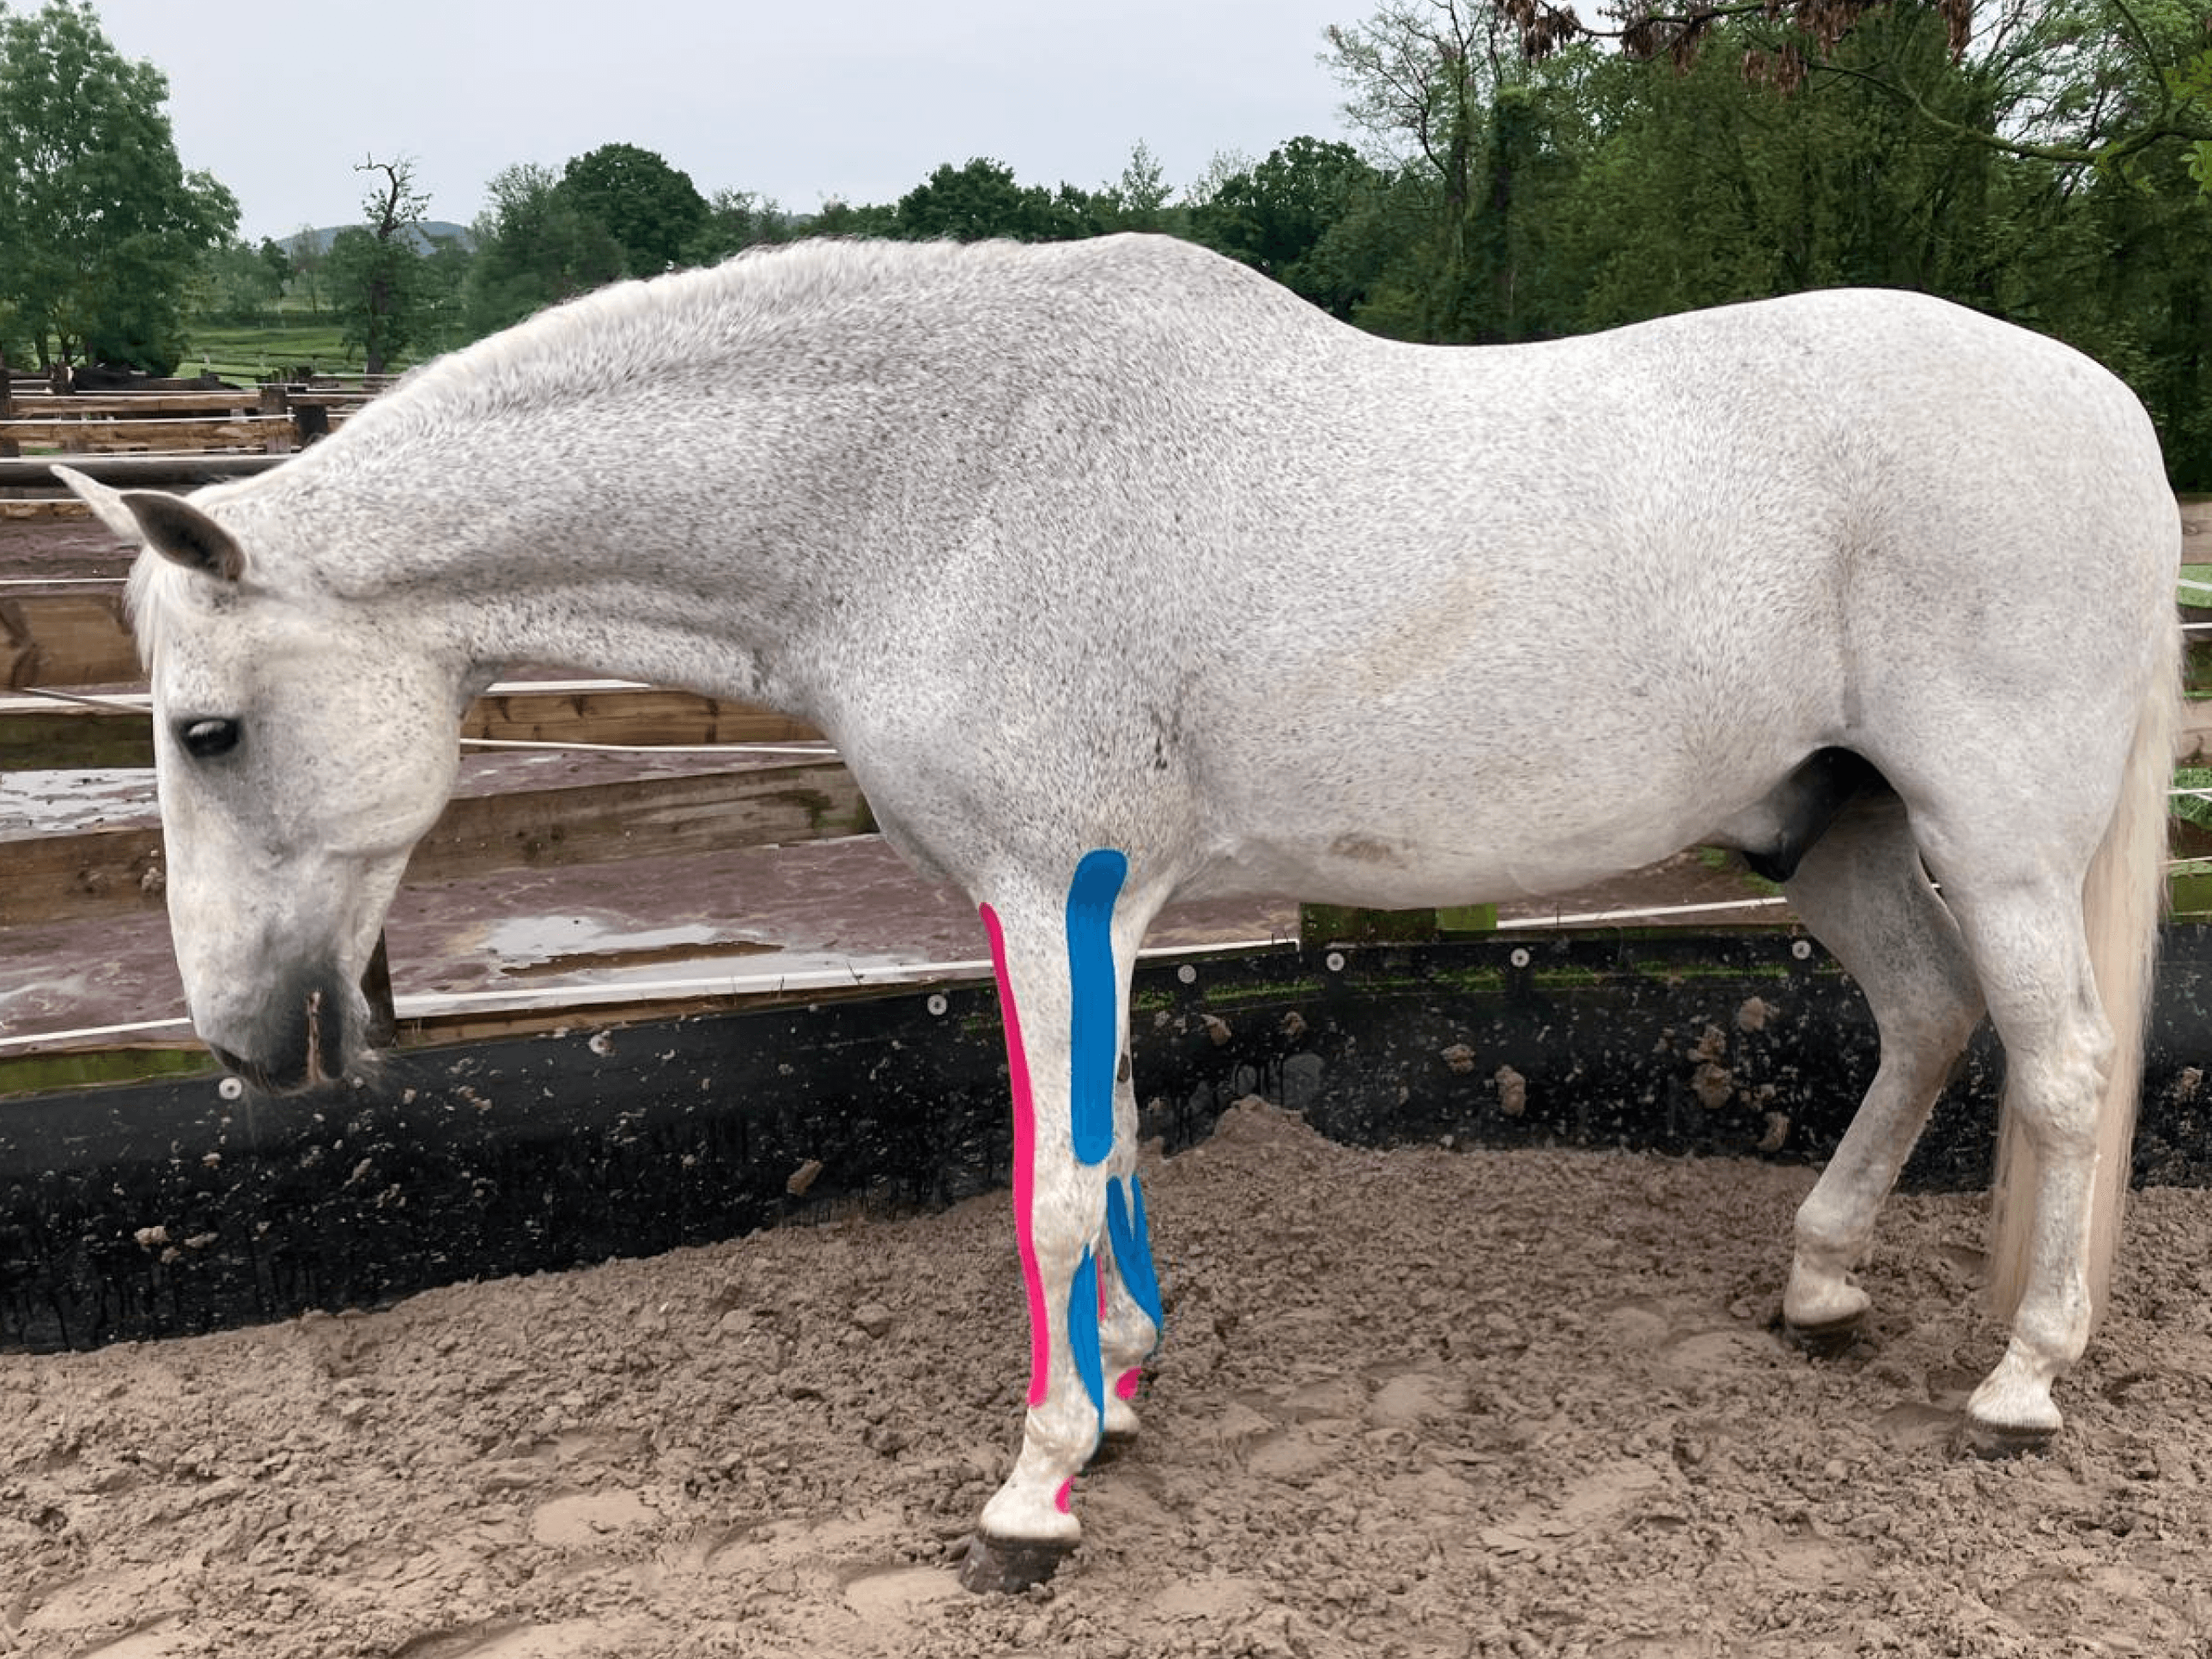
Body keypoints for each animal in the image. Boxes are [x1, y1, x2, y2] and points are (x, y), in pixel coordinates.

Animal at [57, 233, 2181, 1594]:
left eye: (208, 727)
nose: (241, 1038)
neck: (929, 488)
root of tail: (2116, 421)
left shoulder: (1041, 883)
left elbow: (1055, 1185)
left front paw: (1036, 1491)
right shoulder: (1075, 908)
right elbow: (1115, 1139)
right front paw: (1128, 1390)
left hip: (1992, 832)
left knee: (2064, 1063)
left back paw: (2016, 1385)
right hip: (1832, 832)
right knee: (1927, 1018)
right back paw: (1820, 1283)